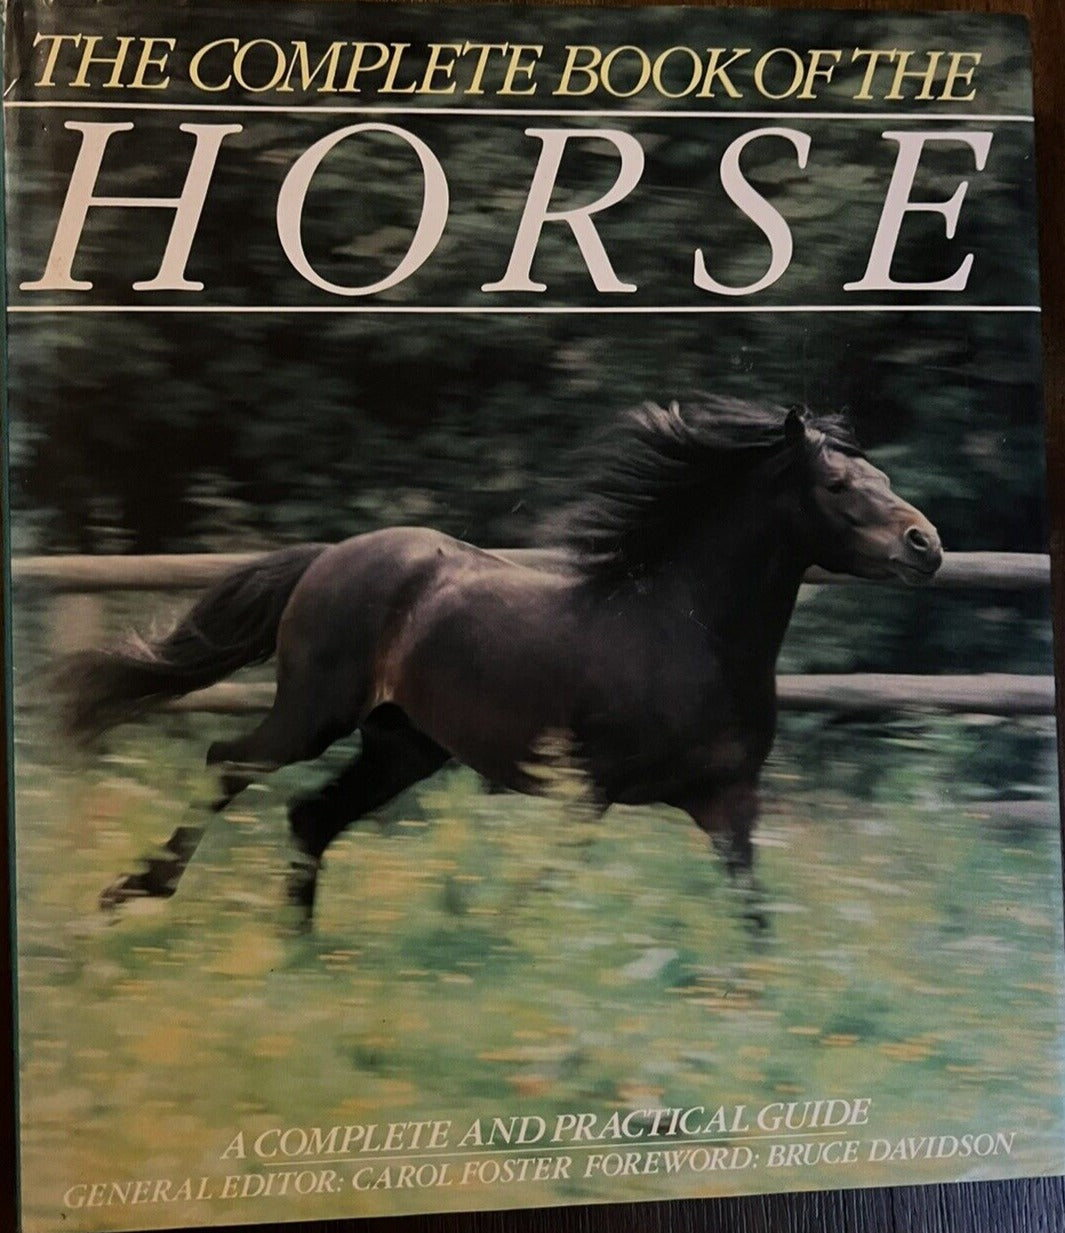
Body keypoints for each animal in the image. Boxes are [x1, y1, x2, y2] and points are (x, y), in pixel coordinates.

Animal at [62, 398, 942, 925]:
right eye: (836, 485)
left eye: (880, 475)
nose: (924, 544)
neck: (687, 634)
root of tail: (327, 557)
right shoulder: (584, 791)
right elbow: (541, 891)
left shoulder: (729, 803)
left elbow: (753, 918)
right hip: (313, 714)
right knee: (229, 762)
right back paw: (132, 892)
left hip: (404, 745)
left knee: (308, 816)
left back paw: (297, 958)